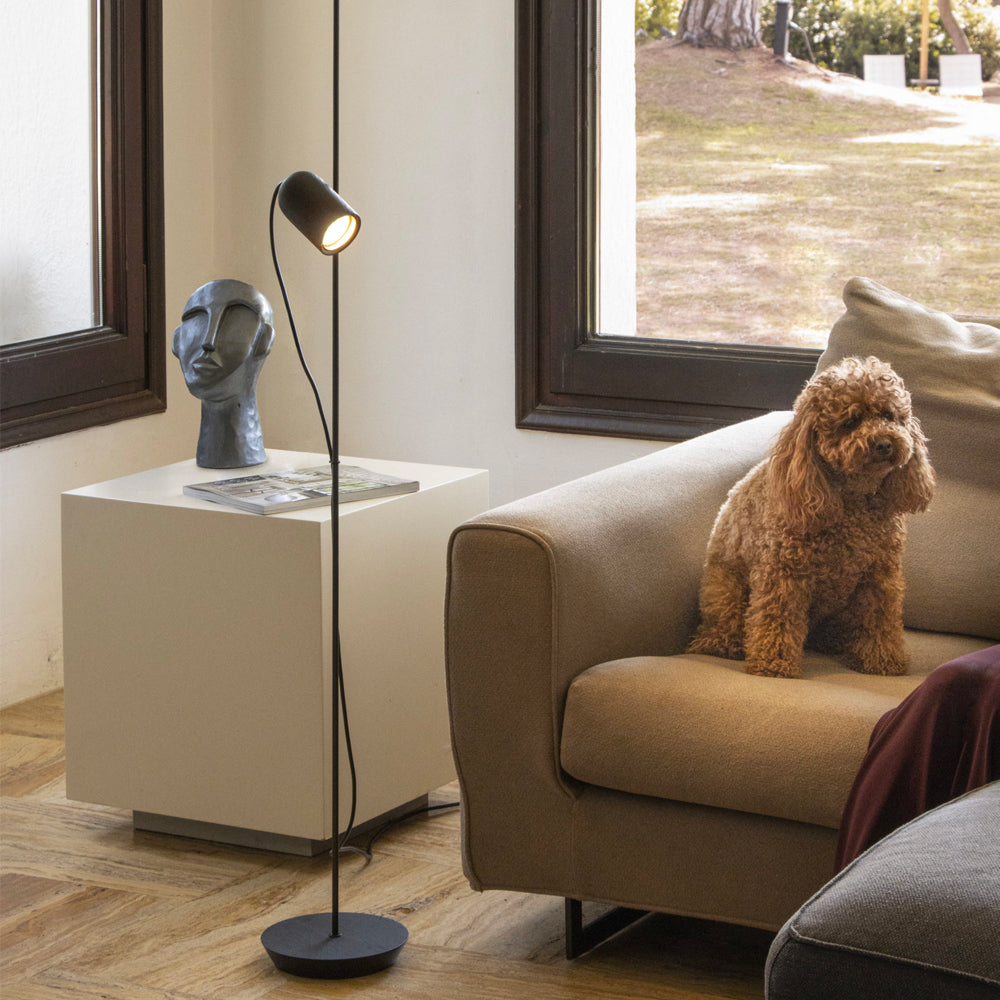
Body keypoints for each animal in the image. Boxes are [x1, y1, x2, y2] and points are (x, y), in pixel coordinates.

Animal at [688, 356, 934, 678]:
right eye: (851, 421)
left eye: (889, 415)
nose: (884, 443)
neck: (852, 502)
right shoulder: (783, 575)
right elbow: (777, 619)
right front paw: (773, 664)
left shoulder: (879, 576)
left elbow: (880, 620)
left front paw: (882, 661)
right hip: (726, 588)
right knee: (725, 623)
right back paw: (723, 644)